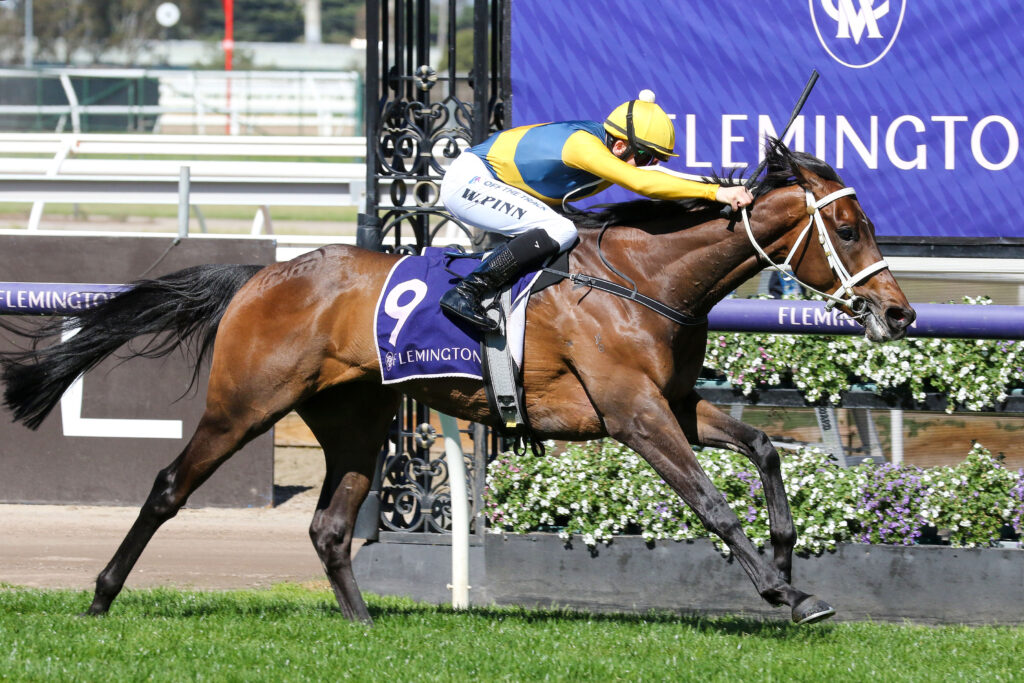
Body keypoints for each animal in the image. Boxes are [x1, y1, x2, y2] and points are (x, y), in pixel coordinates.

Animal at [0, 139, 913, 626]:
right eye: (846, 224)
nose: (899, 313)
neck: (642, 278)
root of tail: (265, 274)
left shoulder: (676, 403)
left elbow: (764, 450)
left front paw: (791, 559)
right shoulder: (632, 413)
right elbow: (710, 501)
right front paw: (783, 592)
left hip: (356, 417)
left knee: (330, 526)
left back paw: (365, 625)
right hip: (246, 402)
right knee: (167, 487)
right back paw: (100, 596)